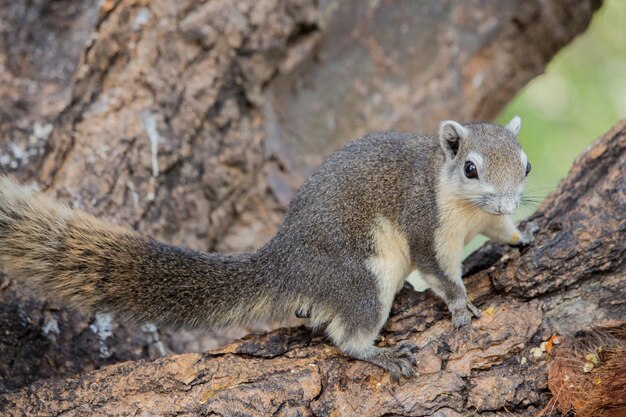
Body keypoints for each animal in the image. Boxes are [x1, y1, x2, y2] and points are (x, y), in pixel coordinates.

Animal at [0, 116, 532, 376]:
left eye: (525, 165)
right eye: (470, 168)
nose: (509, 200)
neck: (462, 204)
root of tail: (284, 265)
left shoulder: (487, 219)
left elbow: (500, 232)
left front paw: (523, 236)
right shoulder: (425, 222)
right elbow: (438, 269)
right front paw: (460, 305)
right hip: (361, 277)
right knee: (347, 336)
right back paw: (379, 354)